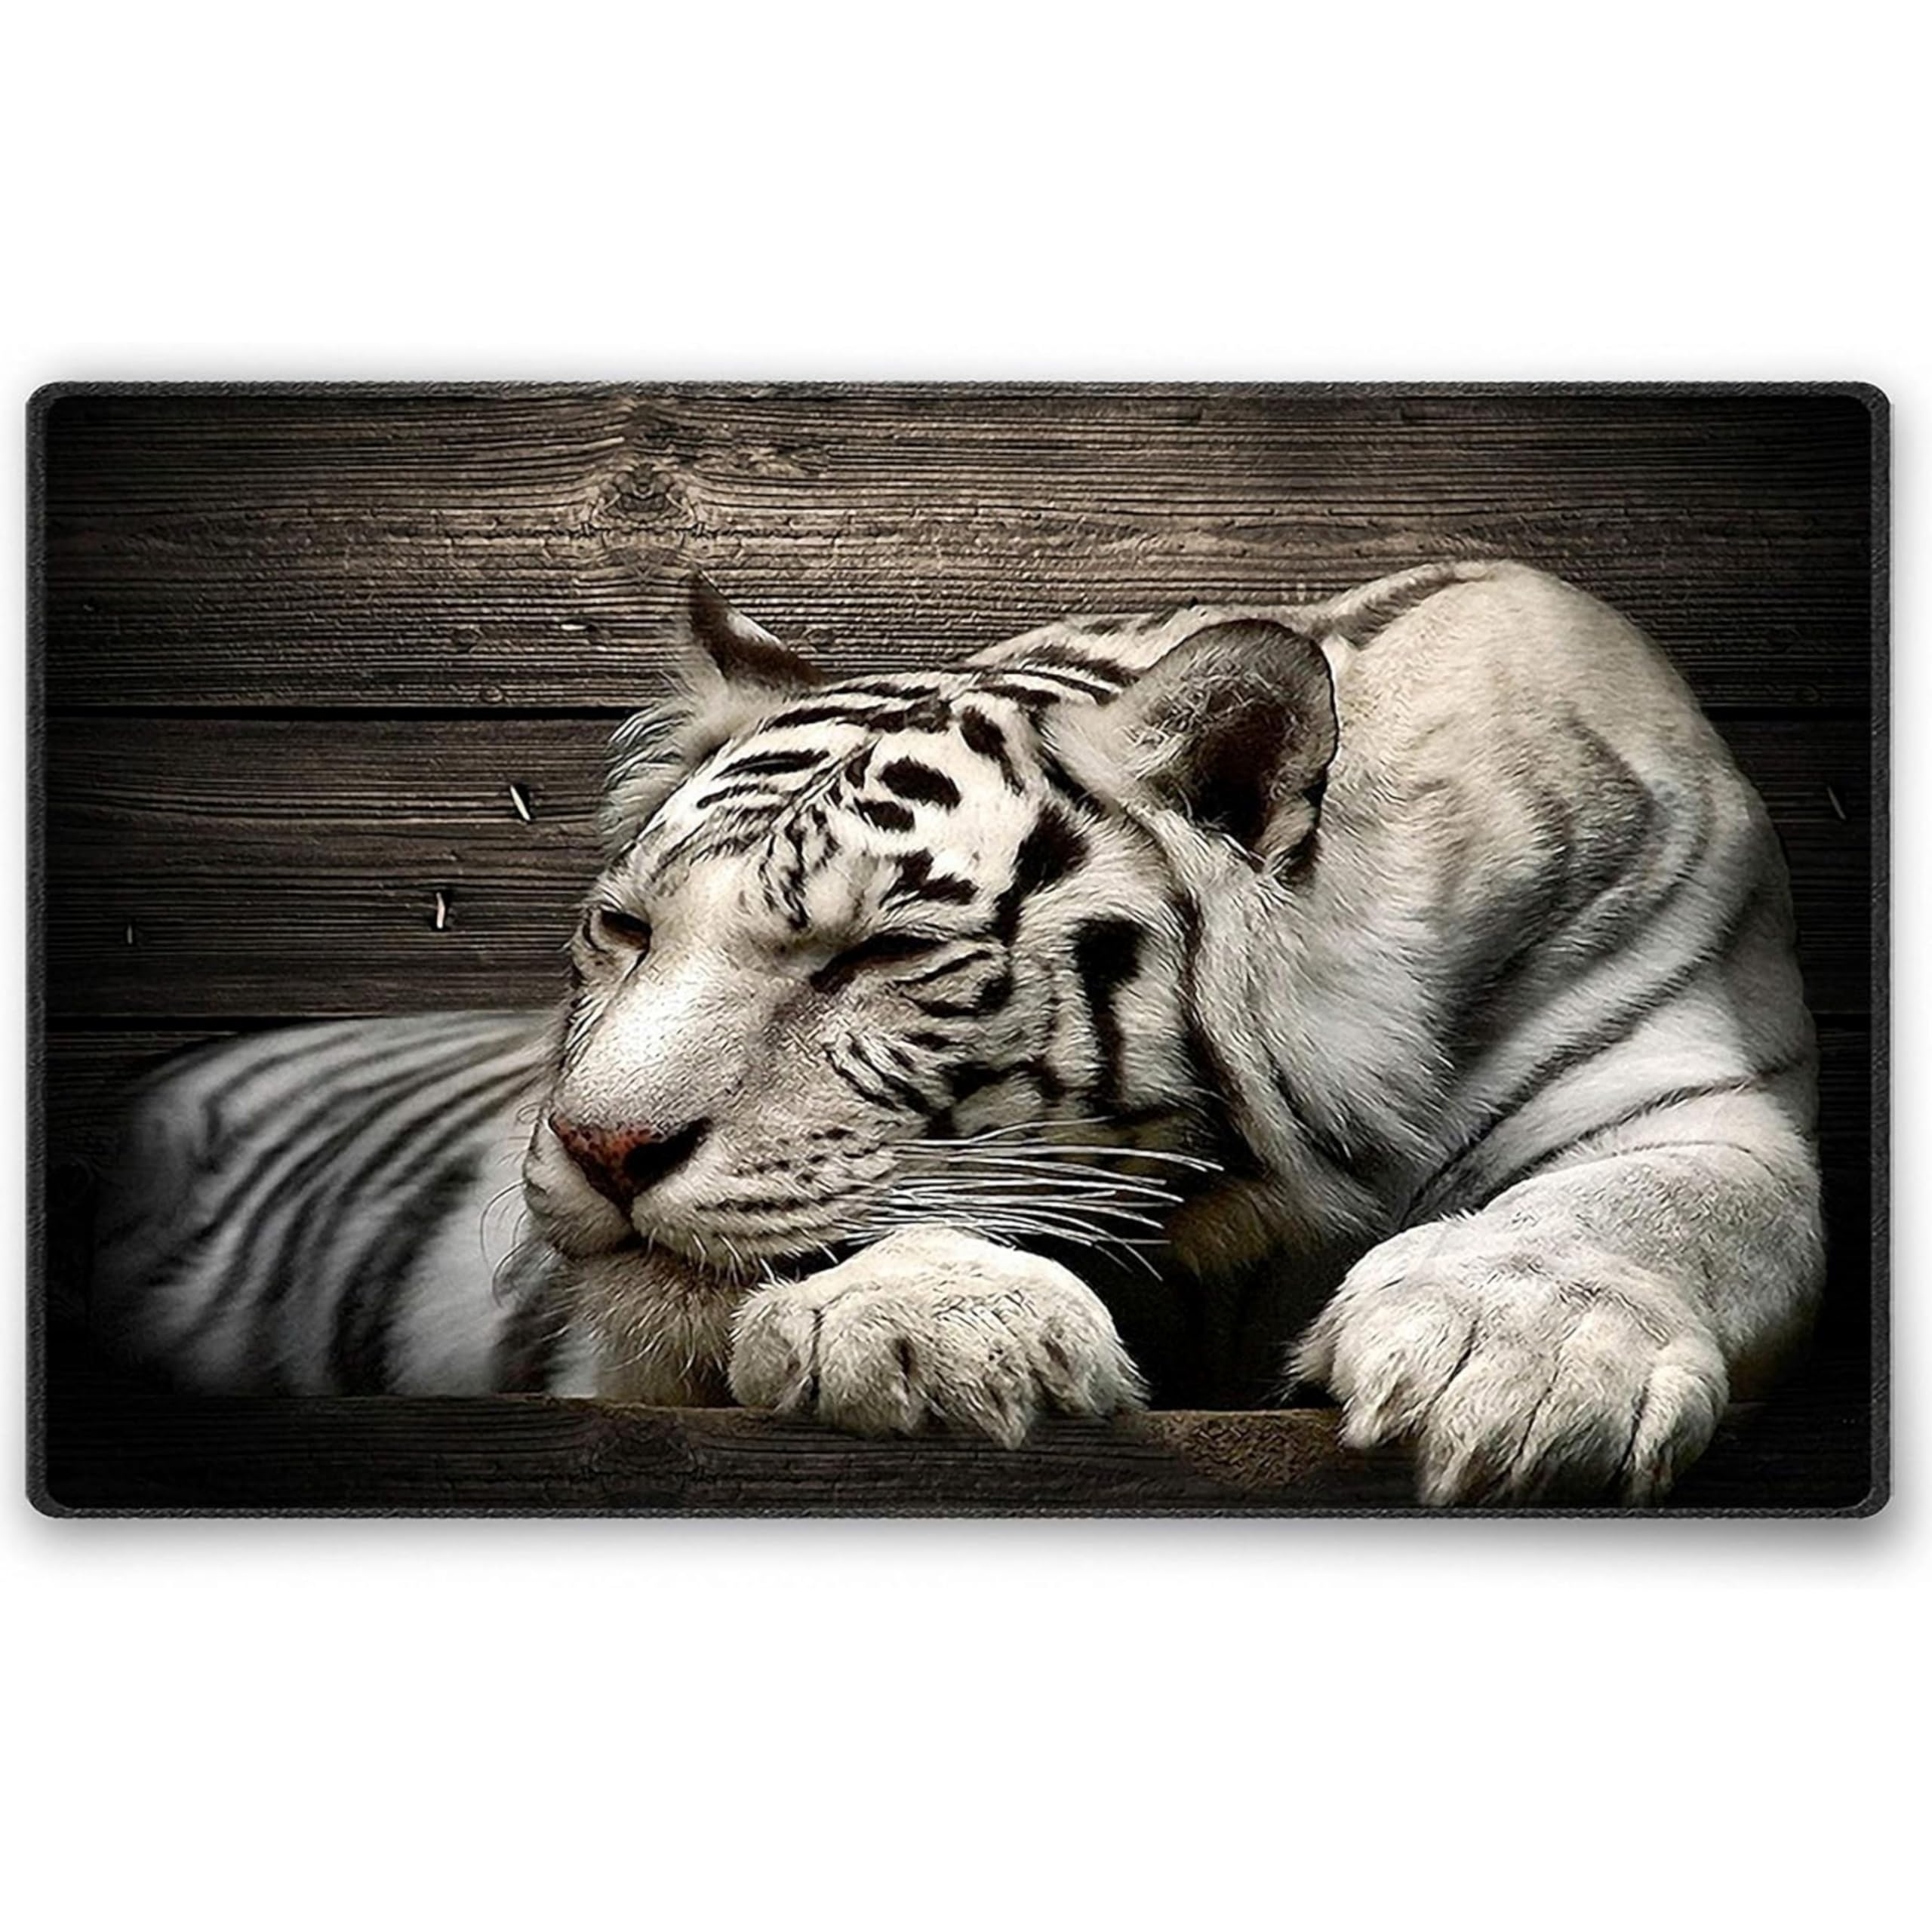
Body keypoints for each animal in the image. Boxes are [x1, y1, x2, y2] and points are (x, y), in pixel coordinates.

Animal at [89, 559, 1824, 1504]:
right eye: (629, 931)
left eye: (879, 954)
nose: (598, 1146)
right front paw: (932, 1324)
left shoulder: (1691, 1081)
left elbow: (1655, 1202)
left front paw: (1514, 1361)